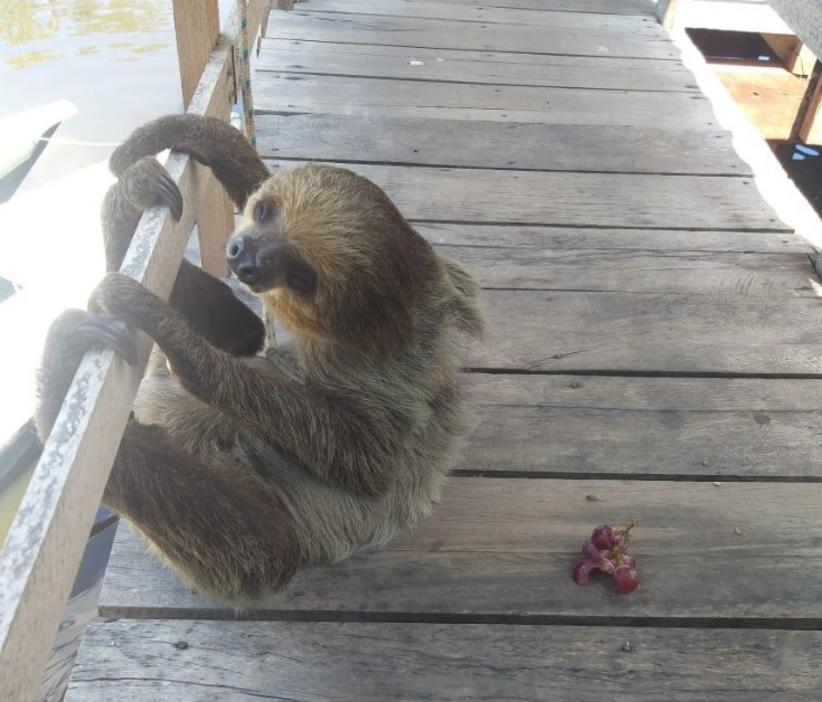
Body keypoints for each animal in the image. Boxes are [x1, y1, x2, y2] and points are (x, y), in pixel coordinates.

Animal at [34, 114, 484, 607]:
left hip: (263, 541)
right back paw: (124, 209)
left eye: (302, 276)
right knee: (233, 324)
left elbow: (369, 458)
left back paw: (61, 377)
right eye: (266, 212)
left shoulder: (385, 371)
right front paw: (181, 136)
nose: (245, 256)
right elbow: (250, 178)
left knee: (246, 537)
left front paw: (176, 338)